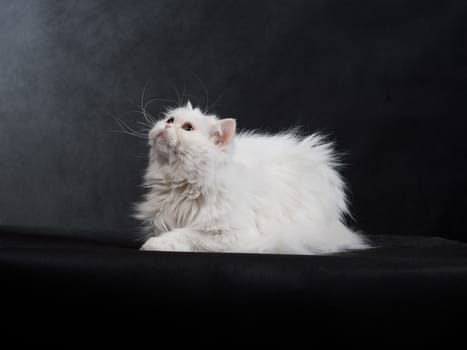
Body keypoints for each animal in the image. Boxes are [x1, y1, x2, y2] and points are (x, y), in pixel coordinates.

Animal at [134, 102, 370, 254]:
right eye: (170, 119)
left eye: (187, 128)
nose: (167, 125)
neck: (180, 186)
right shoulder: (159, 220)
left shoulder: (230, 235)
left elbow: (184, 234)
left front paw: (153, 244)